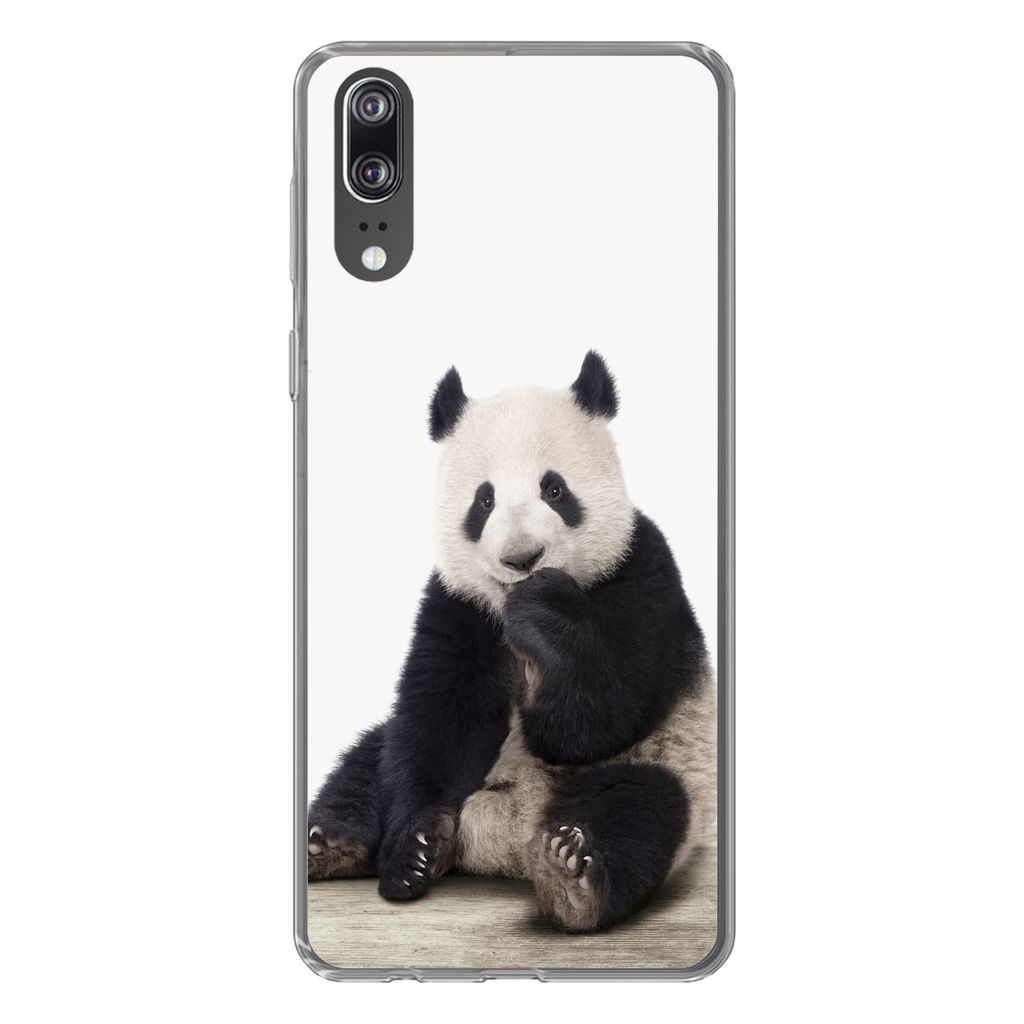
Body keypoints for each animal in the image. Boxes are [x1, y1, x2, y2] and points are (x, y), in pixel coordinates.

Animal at [307, 351, 716, 932]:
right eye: (484, 500)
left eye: (555, 490)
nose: (523, 558)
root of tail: (505, 840)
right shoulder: (459, 604)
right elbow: (440, 719)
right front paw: (414, 850)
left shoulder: (642, 571)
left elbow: (597, 718)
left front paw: (544, 613)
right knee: (370, 760)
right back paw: (333, 844)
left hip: (672, 765)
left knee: (642, 808)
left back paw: (572, 875)